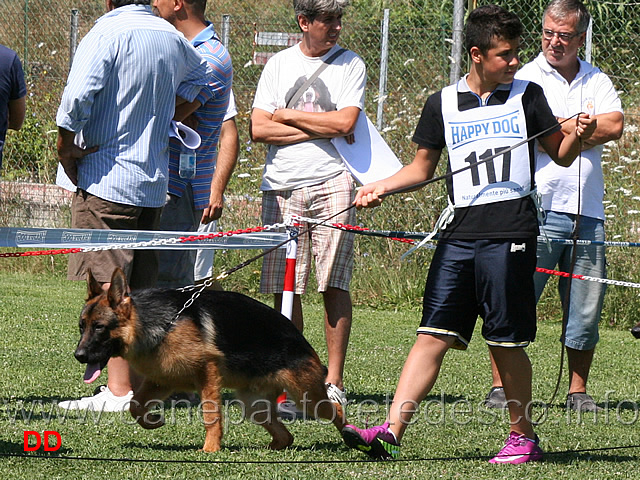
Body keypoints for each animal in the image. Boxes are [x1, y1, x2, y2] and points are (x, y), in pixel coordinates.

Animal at [72, 268, 344, 452]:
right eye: (82, 326)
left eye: (99, 327)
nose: (79, 356)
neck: (157, 324)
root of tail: (300, 338)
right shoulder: (162, 380)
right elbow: (135, 405)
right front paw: (152, 421)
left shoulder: (207, 375)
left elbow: (211, 415)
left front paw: (211, 449)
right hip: (254, 406)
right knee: (286, 435)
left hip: (306, 397)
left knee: (335, 409)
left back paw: (351, 436)